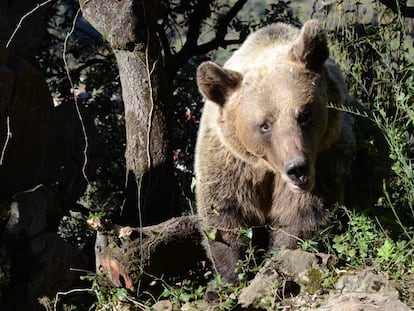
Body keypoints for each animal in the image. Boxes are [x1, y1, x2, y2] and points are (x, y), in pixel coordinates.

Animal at [196, 20, 354, 286]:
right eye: (264, 124)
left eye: (305, 114)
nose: (297, 168)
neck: (268, 168)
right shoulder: (231, 163)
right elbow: (225, 216)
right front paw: (228, 277)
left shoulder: (323, 160)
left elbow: (302, 215)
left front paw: (276, 260)